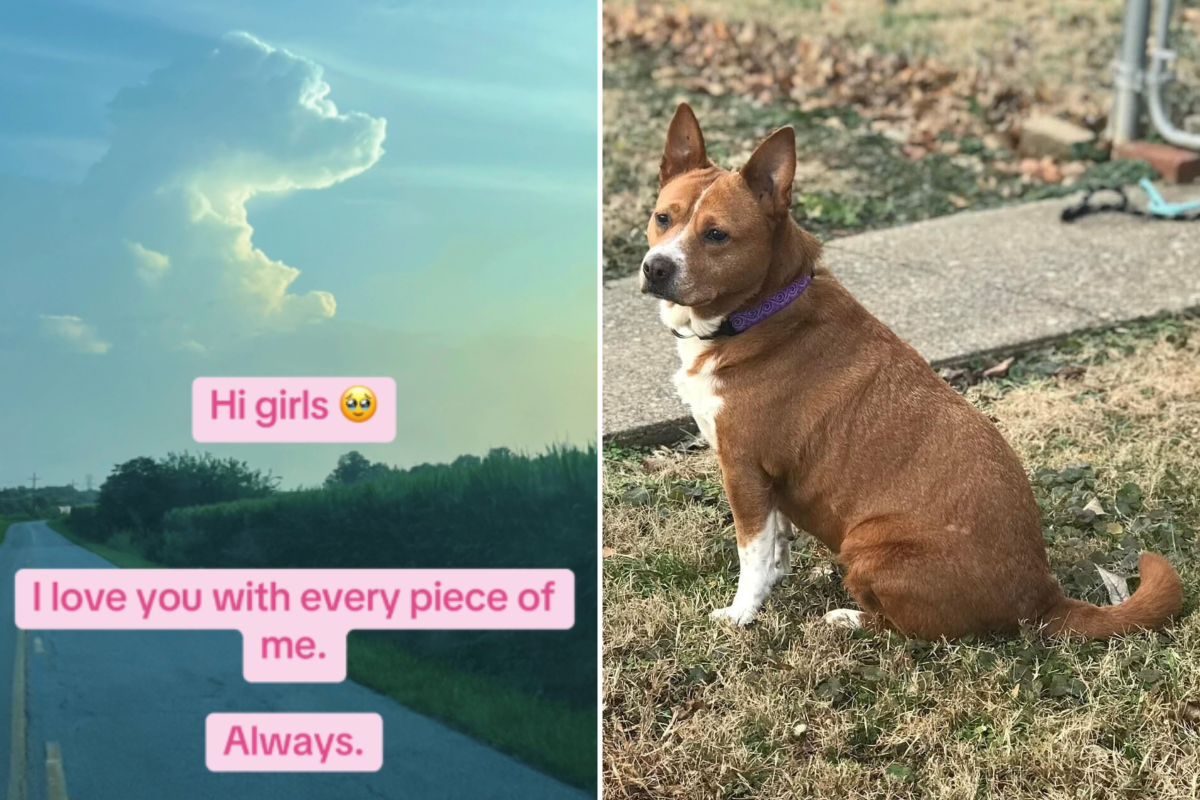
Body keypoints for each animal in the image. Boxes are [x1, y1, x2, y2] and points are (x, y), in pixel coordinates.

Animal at [638, 106, 1180, 642]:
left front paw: (741, 614)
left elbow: (751, 555)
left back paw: (849, 618)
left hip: (868, 541)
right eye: (663, 217)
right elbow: (777, 542)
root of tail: (1043, 596)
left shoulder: (745, 471)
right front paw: (778, 577)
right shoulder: (770, 488)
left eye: (716, 235)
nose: (654, 268)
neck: (762, 310)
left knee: (907, 629)